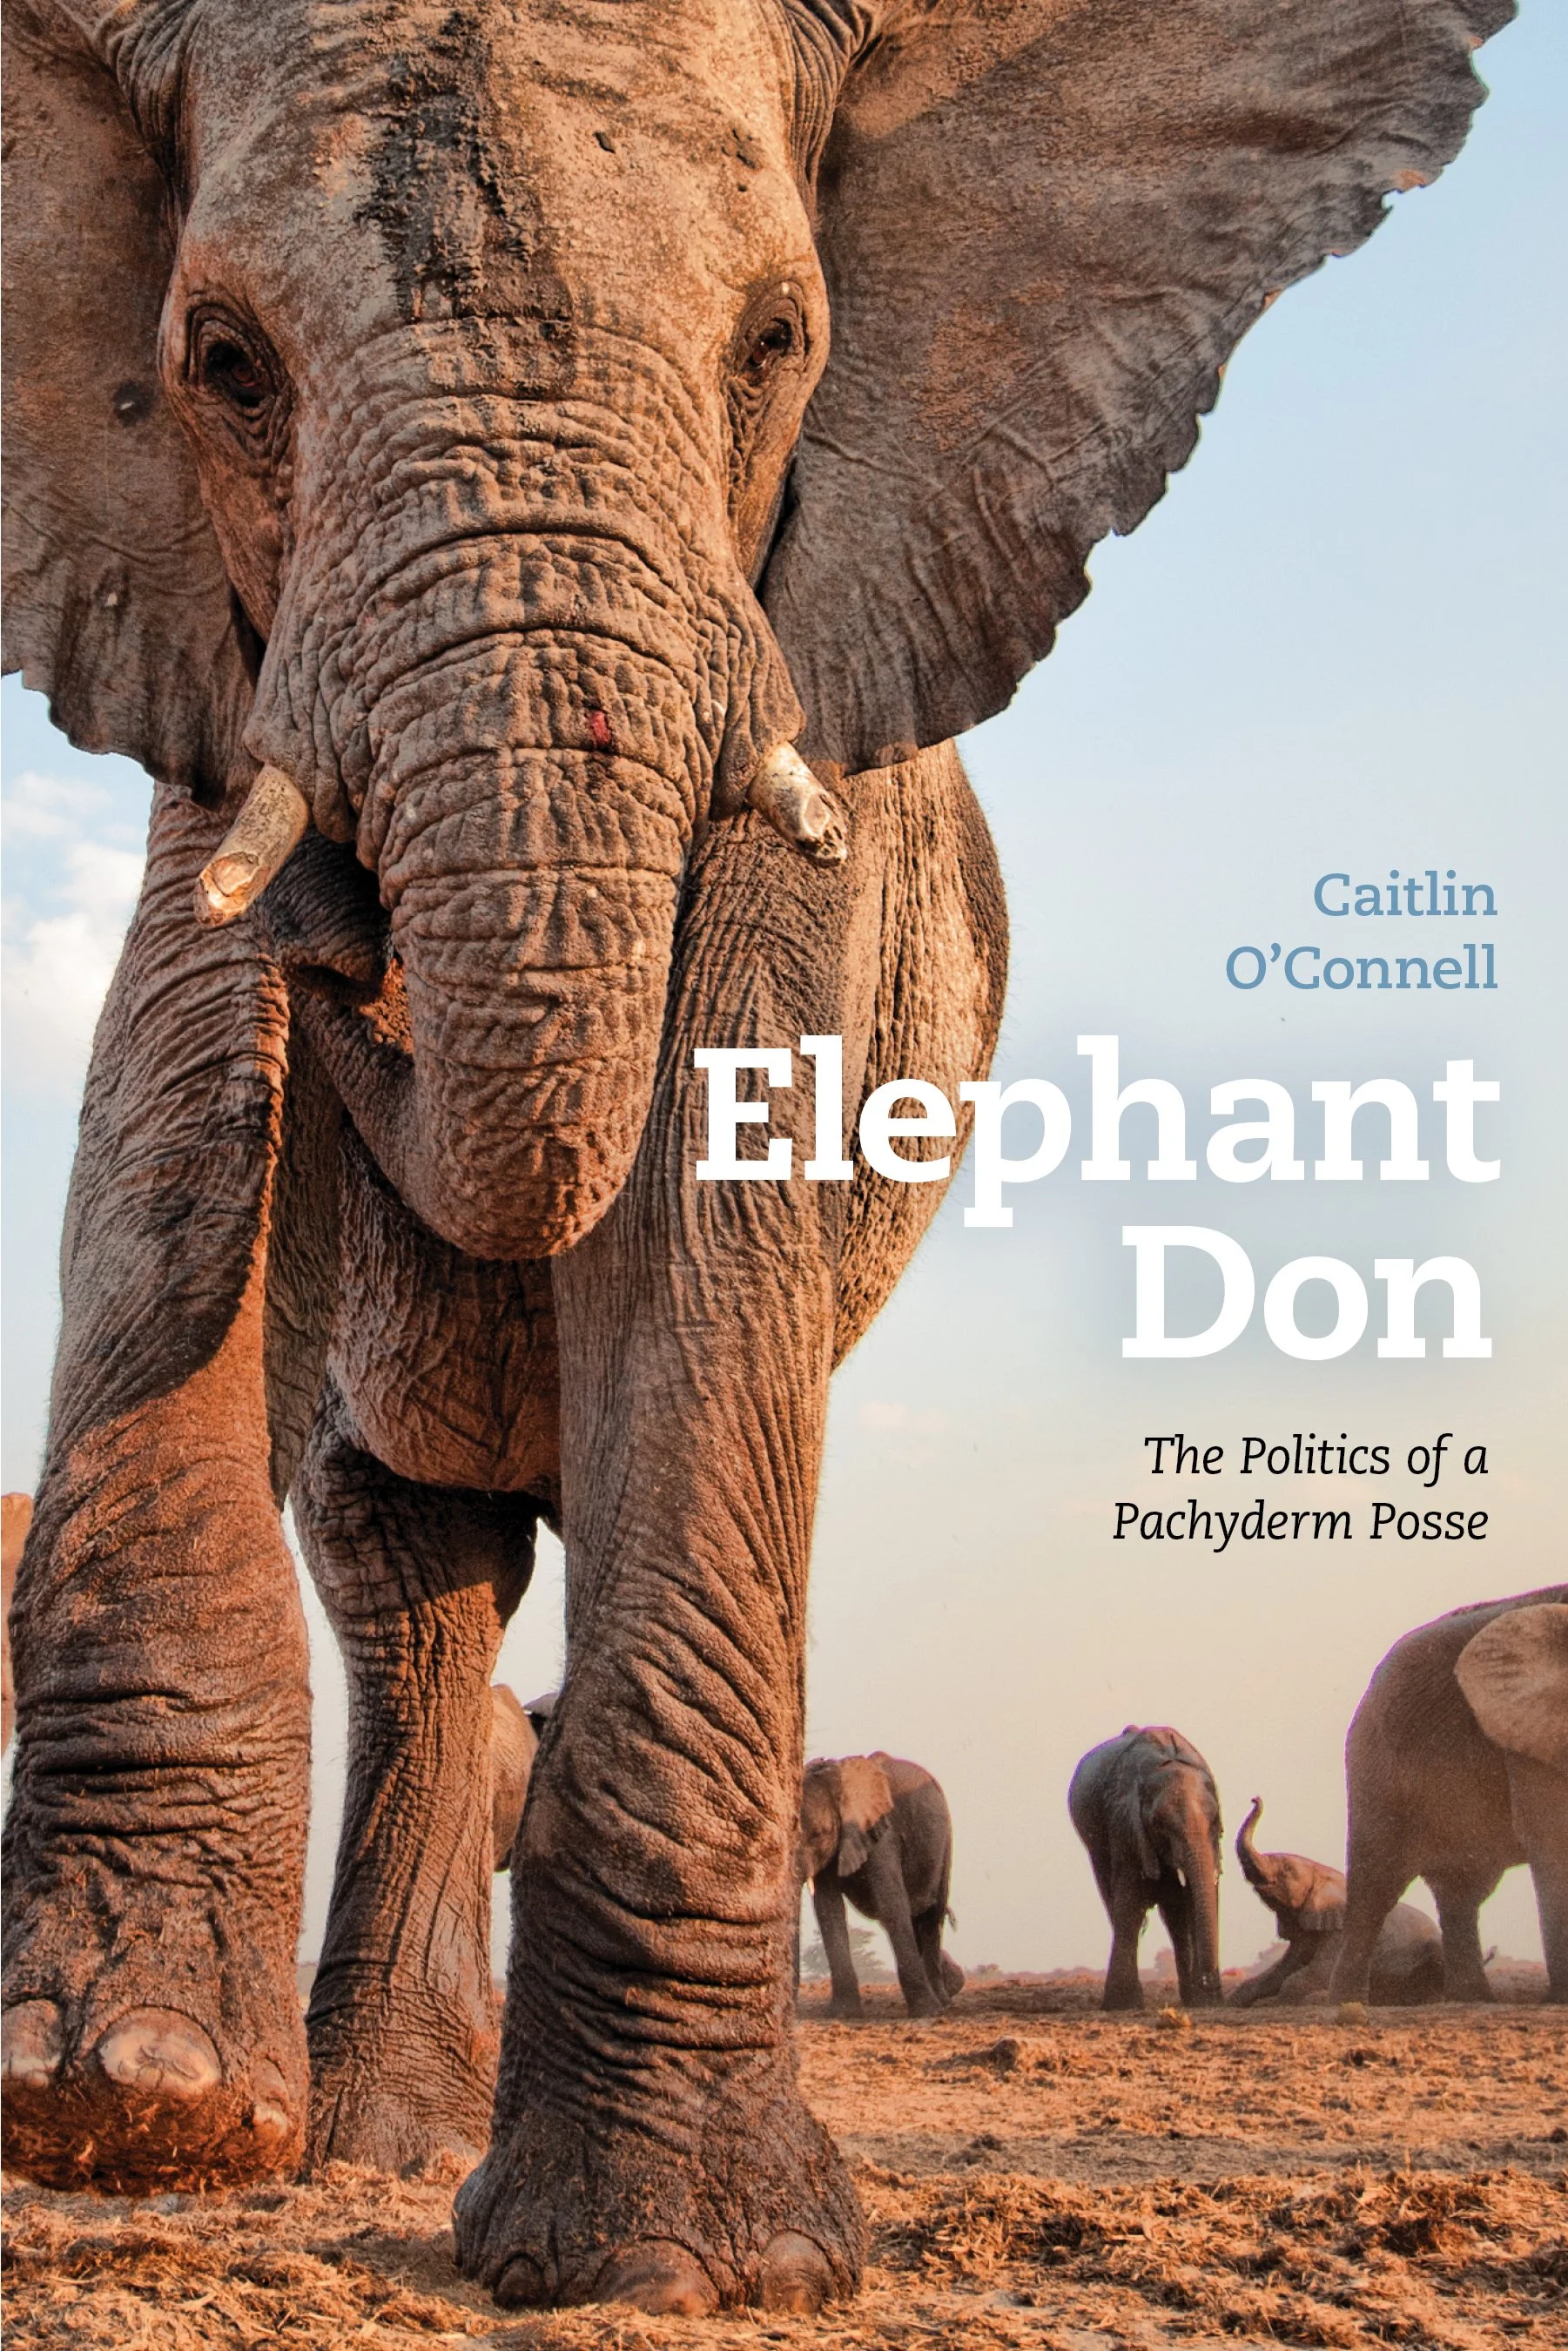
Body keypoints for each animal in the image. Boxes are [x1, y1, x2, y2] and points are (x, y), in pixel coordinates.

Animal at [797, 1754, 963, 2021]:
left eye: (819, 1834)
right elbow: (828, 1909)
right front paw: (844, 2014)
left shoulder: (882, 1834)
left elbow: (891, 1902)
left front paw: (925, 2013)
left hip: (944, 1842)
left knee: (931, 1917)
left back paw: (941, 2004)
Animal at [1069, 1726, 1224, 2010]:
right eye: (1160, 1825)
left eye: (1216, 1822)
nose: (1210, 1986)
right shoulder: (1124, 1821)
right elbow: (1130, 1901)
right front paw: (1123, 2004)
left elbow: (1200, 1898)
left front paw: (1204, 2001)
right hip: (1095, 1846)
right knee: (1116, 1902)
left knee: (1175, 1916)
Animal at [1228, 1797, 1442, 2008]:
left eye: (1287, 1869)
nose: (1255, 1798)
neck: (1321, 1871)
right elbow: (1282, 1969)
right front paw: (1237, 1999)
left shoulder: (1340, 1930)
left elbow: (1312, 1974)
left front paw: (1269, 2002)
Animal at [1333, 1588, 1568, 2006]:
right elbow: (1555, 1841)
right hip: (1374, 1765)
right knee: (1376, 1885)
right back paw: (1345, 2001)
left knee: (1464, 1889)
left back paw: (1474, 1998)